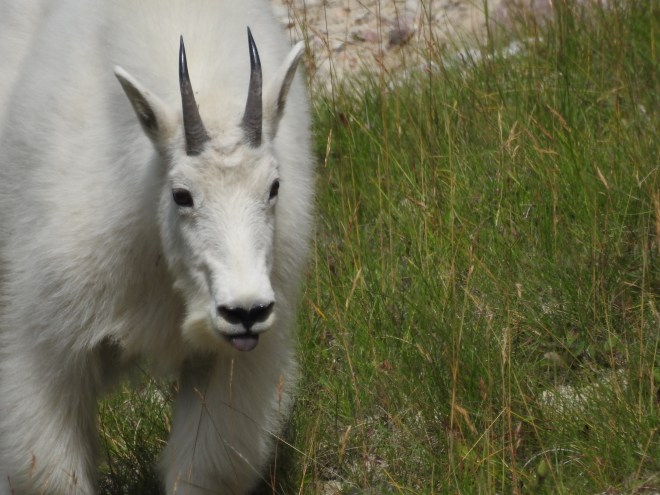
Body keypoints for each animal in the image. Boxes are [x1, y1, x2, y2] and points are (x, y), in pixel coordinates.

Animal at [0, 1, 314, 494]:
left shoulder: (230, 364)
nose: (245, 311)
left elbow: (201, 467)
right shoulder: (46, 349)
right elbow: (50, 472)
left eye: (274, 186)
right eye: (181, 194)